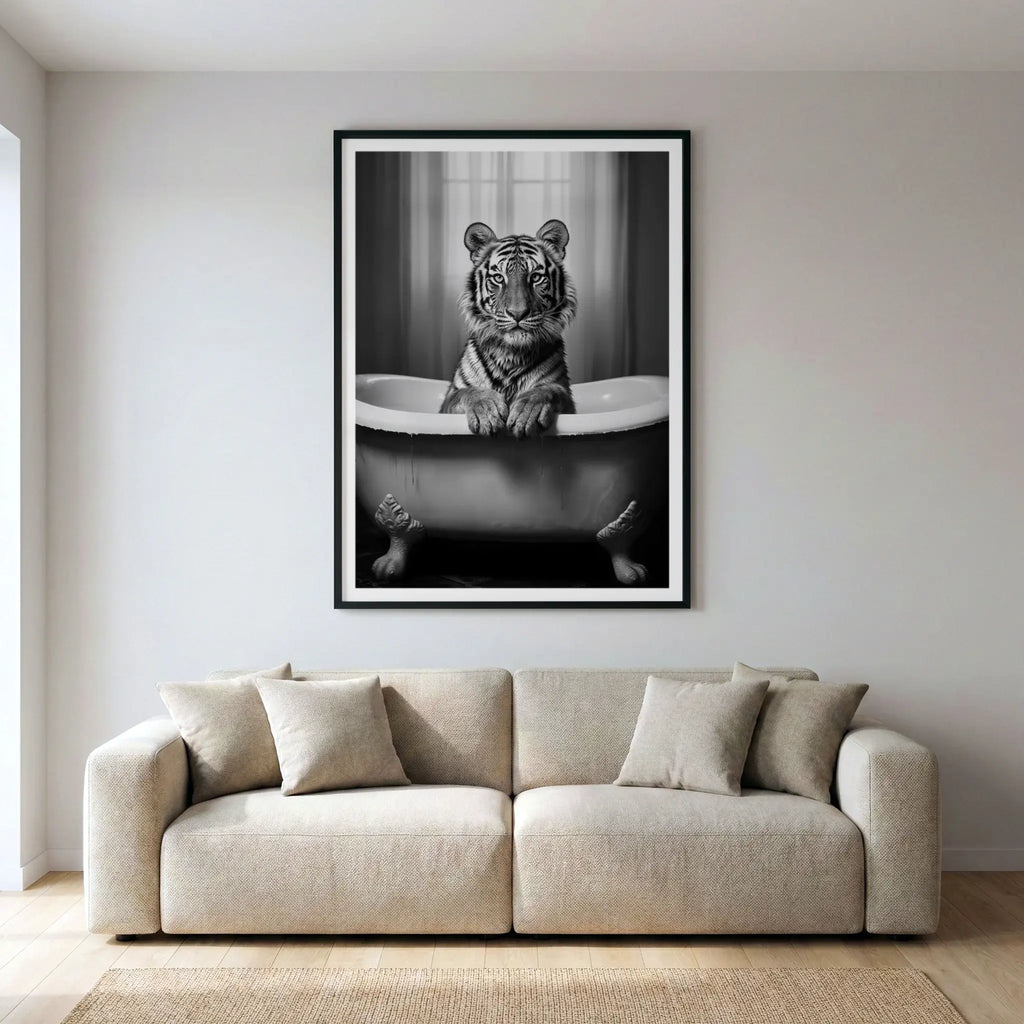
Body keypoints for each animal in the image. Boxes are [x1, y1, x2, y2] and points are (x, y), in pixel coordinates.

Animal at [441, 218, 577, 438]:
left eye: (535, 277)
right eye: (498, 278)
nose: (518, 313)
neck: (511, 355)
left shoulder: (566, 398)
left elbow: (548, 390)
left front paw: (527, 412)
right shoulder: (449, 398)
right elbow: (468, 392)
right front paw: (487, 411)